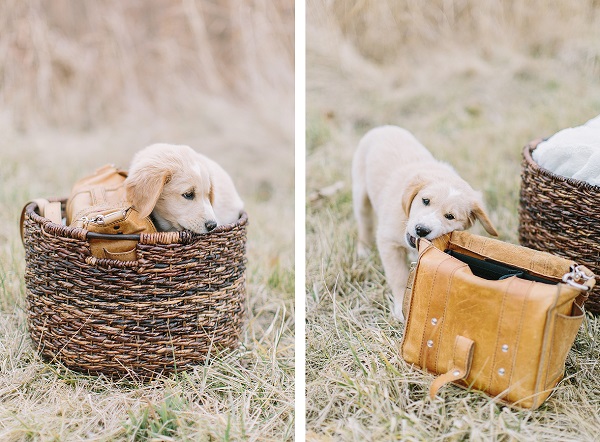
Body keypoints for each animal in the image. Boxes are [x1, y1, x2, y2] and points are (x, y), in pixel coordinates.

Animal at [352, 124, 496, 322]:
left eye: (450, 216)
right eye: (425, 201)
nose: (421, 230)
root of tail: (384, 127)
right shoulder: (388, 242)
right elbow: (398, 275)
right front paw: (401, 307)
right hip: (361, 194)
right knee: (364, 222)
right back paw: (363, 249)